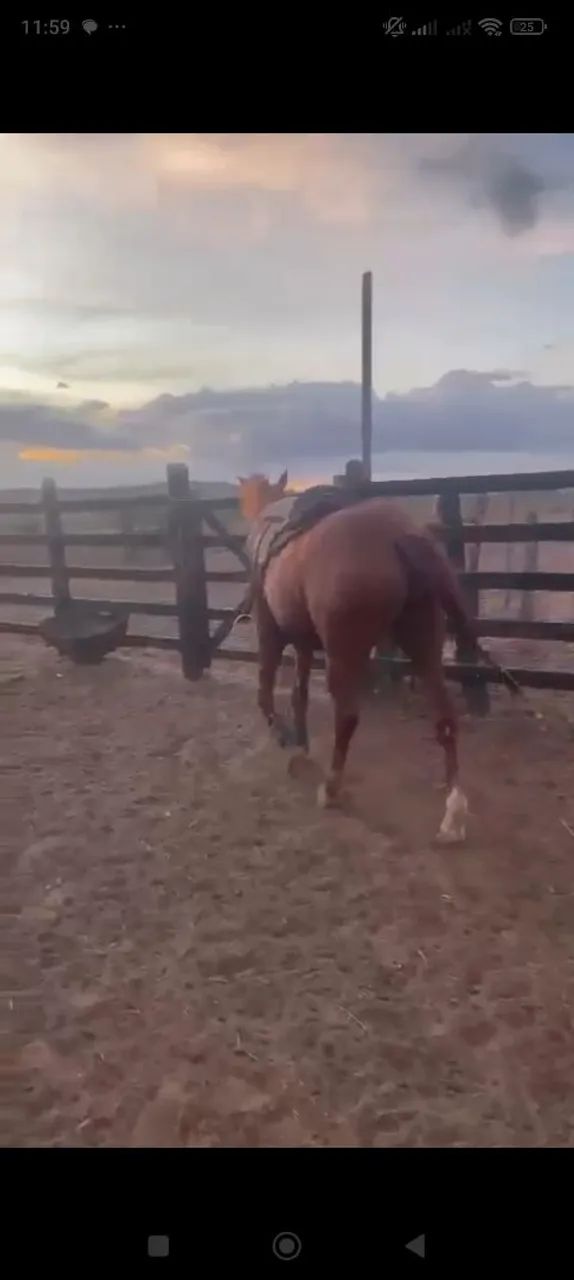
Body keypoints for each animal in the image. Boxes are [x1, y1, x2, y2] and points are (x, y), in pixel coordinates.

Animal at [237, 470, 519, 845]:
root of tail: (398, 536)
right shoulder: (304, 642)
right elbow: (299, 693)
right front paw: (300, 742)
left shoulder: (270, 629)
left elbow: (267, 683)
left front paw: (283, 732)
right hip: (424, 644)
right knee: (445, 719)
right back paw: (453, 817)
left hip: (345, 653)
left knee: (347, 717)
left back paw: (332, 788)